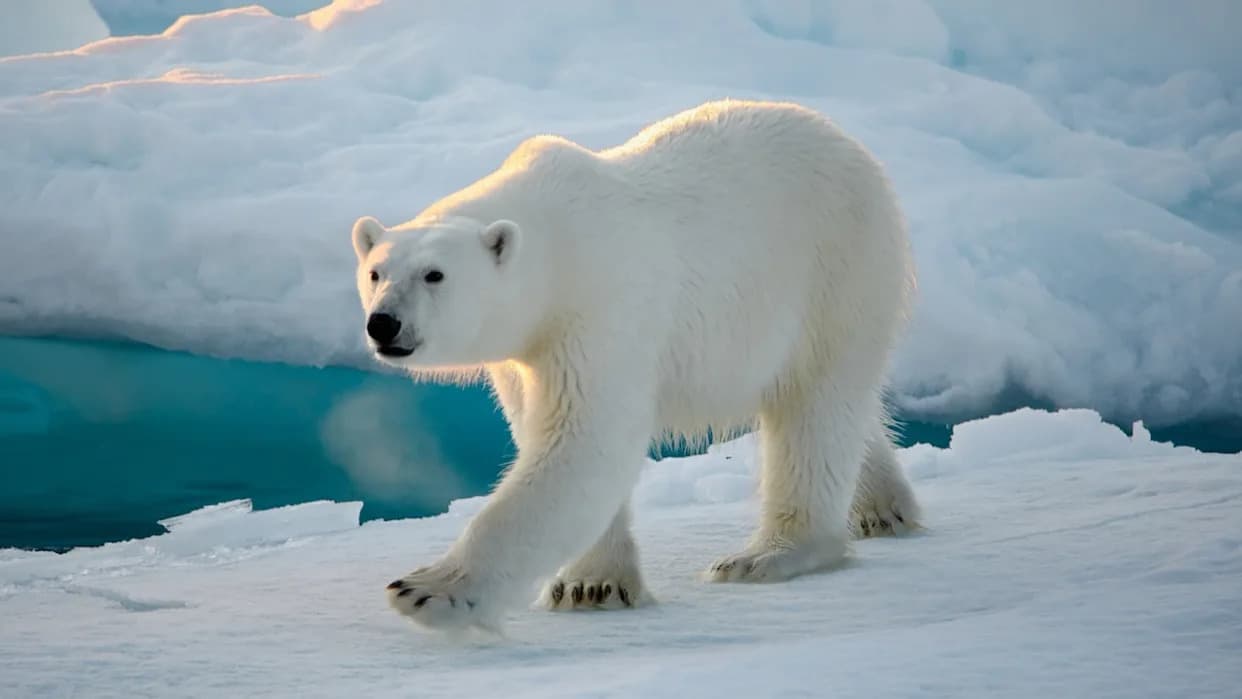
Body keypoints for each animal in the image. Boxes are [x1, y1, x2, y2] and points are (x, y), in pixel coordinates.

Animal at [350, 99, 921, 632]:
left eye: (435, 274)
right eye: (376, 272)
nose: (384, 324)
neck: (556, 246)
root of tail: (846, 142)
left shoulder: (600, 307)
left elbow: (584, 440)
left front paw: (426, 590)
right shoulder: (525, 352)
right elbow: (547, 432)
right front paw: (590, 586)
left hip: (836, 269)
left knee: (815, 408)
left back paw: (768, 554)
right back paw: (883, 509)